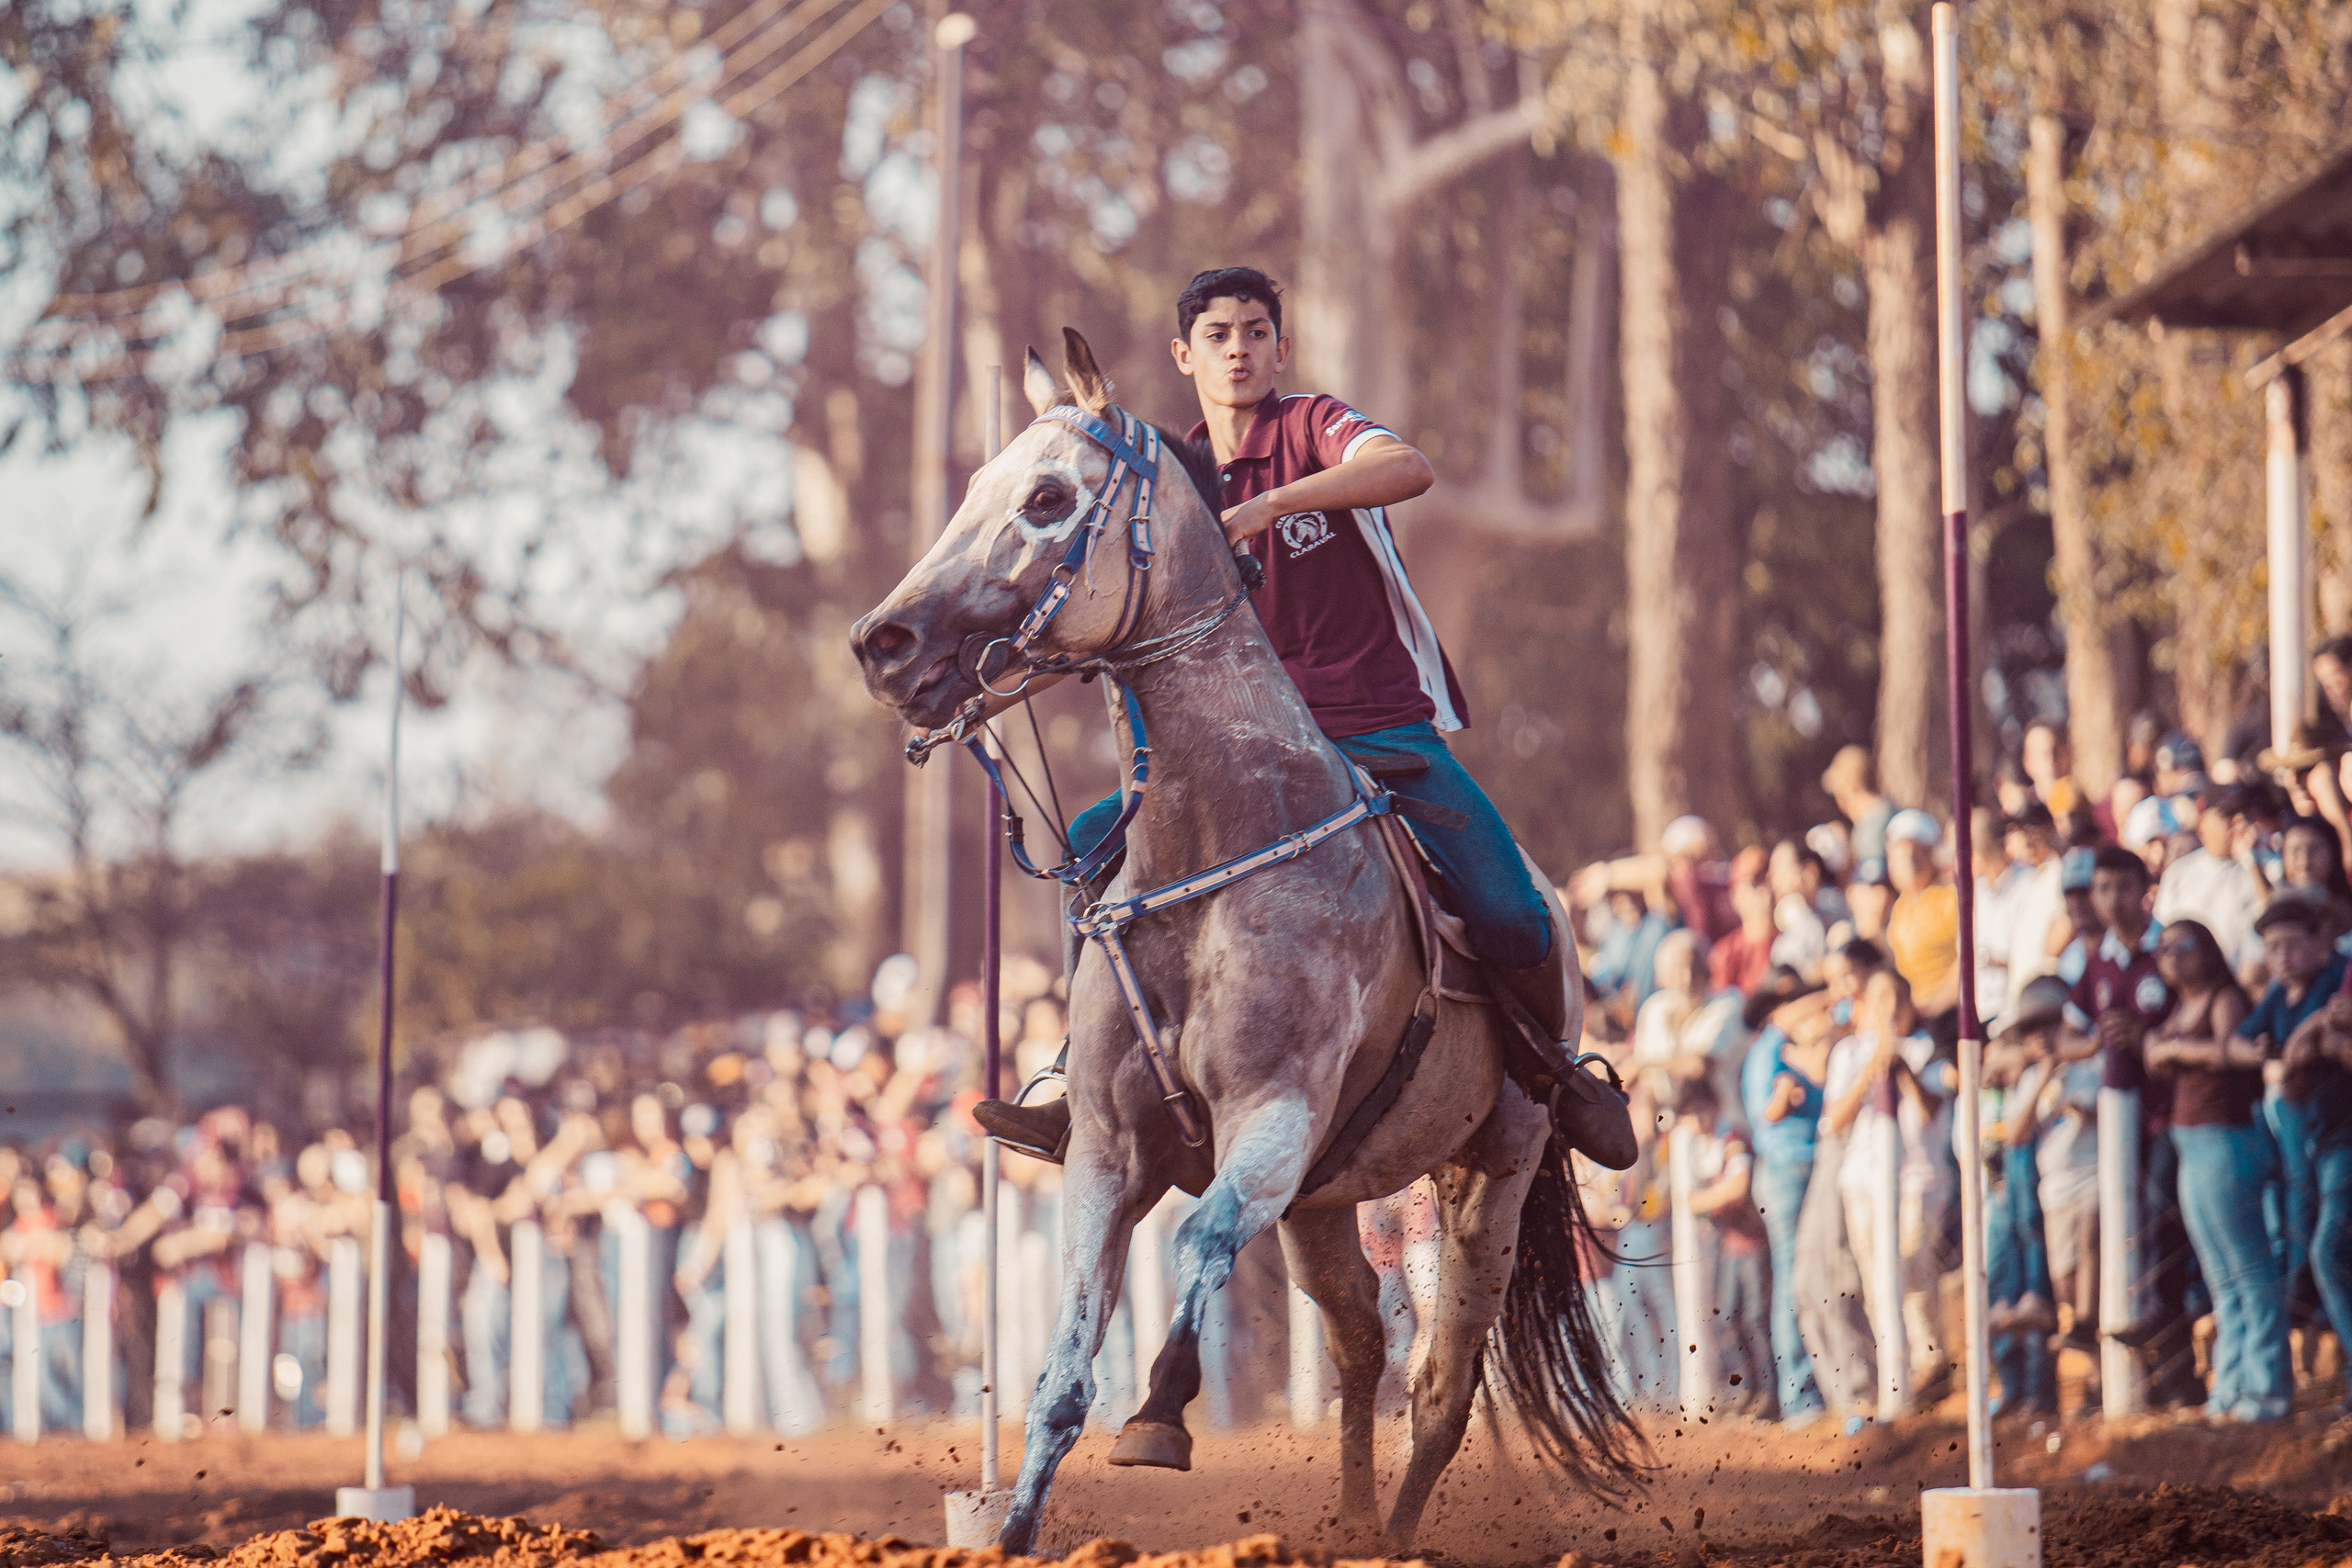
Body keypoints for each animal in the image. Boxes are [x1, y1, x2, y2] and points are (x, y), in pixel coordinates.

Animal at [850, 330, 1642, 1555]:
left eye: (1047, 498)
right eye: (974, 486)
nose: (883, 645)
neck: (1220, 838)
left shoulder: (1270, 1121)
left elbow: (1199, 1245)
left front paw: (1160, 1417)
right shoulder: (1108, 1151)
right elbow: (1063, 1371)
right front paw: (1015, 1524)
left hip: (1491, 1176)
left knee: (1440, 1384)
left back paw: (1392, 1534)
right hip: (1324, 1201)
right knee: (1362, 1347)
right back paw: (1353, 1525)